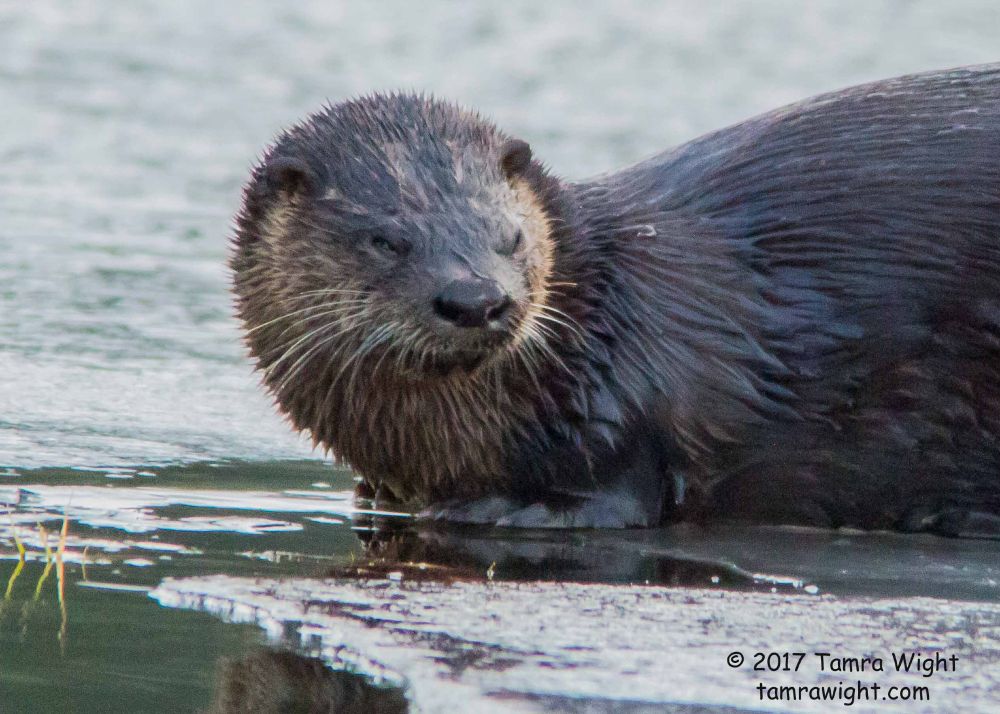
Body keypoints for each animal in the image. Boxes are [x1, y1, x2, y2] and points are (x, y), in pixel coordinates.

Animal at [231, 64, 1000, 535]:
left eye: (510, 234)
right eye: (386, 240)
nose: (476, 297)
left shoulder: (628, 414)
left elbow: (620, 494)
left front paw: (498, 510)